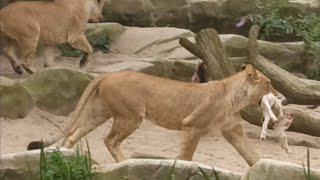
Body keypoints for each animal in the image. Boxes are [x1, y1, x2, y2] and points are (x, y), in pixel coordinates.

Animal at [28, 64, 276, 166]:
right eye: (268, 83)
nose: (277, 94)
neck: (236, 98)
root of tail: (106, 75)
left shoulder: (234, 131)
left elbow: (252, 155)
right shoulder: (192, 126)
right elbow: (186, 156)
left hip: (97, 113)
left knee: (73, 134)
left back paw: (65, 157)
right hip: (131, 116)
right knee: (109, 140)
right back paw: (125, 163)